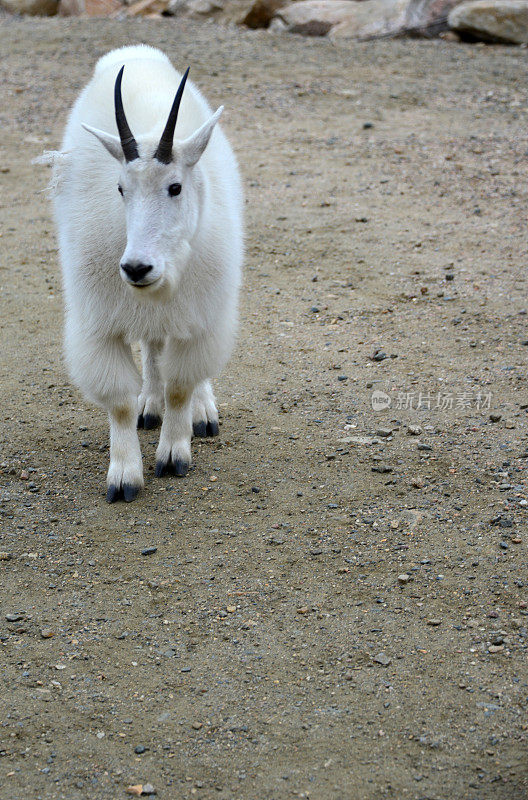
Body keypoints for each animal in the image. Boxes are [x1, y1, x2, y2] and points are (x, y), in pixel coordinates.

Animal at [46, 45, 243, 500]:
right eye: (121, 189)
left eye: (176, 187)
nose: (137, 268)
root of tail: (134, 54)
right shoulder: (100, 323)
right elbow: (119, 400)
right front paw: (124, 477)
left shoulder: (202, 312)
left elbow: (181, 385)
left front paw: (173, 456)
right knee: (153, 346)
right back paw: (149, 406)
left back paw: (202, 413)